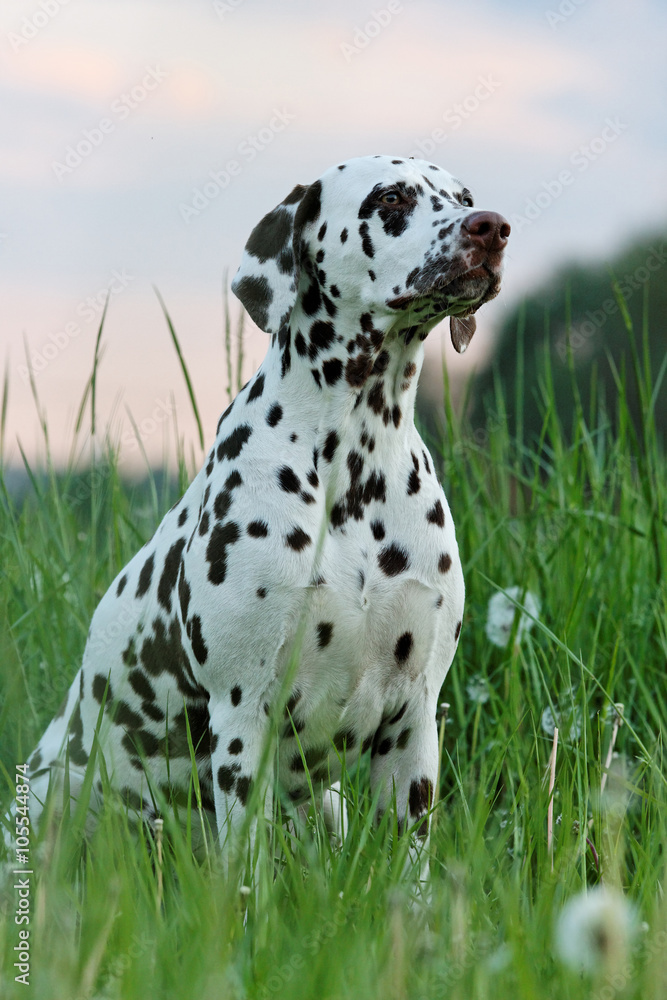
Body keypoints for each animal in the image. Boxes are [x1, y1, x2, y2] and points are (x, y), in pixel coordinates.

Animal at [13, 154, 508, 876]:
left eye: (466, 197)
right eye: (391, 198)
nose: (492, 227)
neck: (354, 462)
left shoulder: (413, 721)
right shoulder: (243, 716)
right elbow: (244, 871)